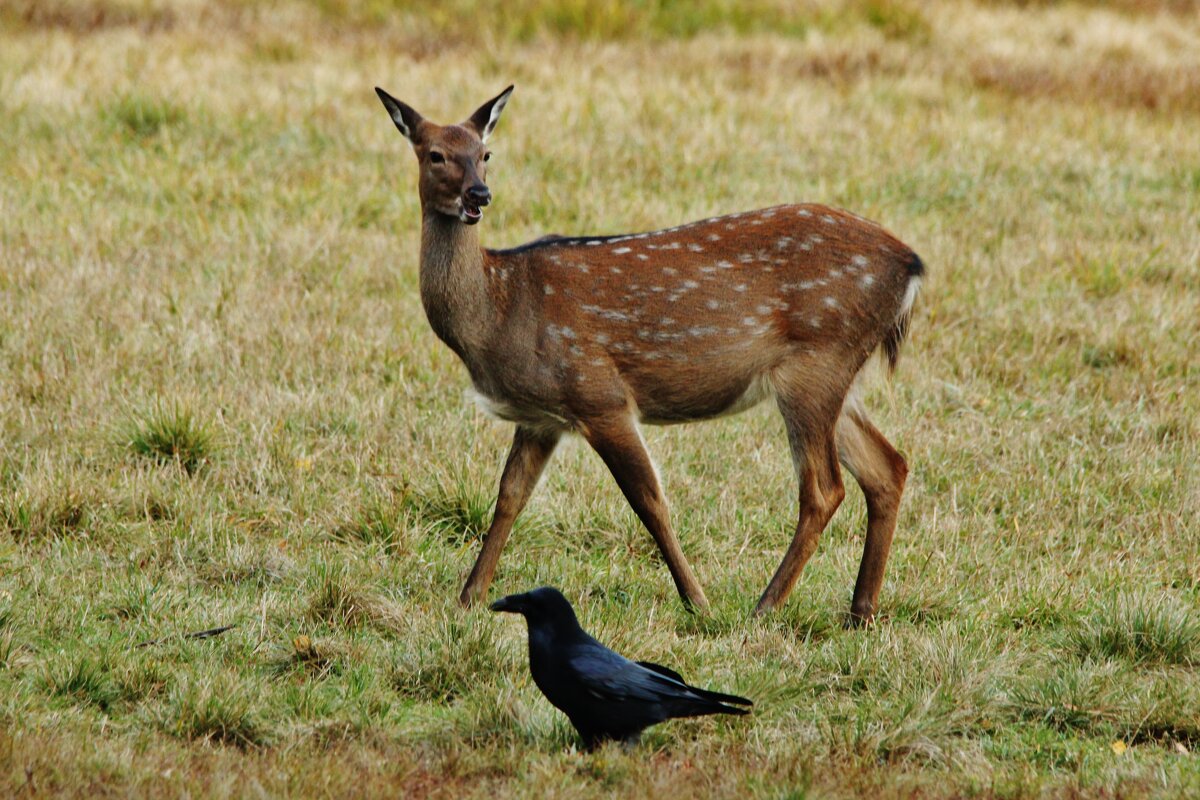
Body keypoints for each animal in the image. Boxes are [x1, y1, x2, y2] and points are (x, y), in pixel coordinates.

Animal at [379, 84, 921, 628]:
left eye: (485, 153)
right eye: (435, 154)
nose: (478, 195)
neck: (497, 311)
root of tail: (911, 266)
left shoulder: (598, 394)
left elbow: (649, 500)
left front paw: (698, 602)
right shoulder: (541, 416)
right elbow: (510, 497)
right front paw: (469, 597)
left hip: (816, 361)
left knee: (825, 489)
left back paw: (765, 606)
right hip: (836, 377)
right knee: (888, 467)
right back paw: (860, 611)